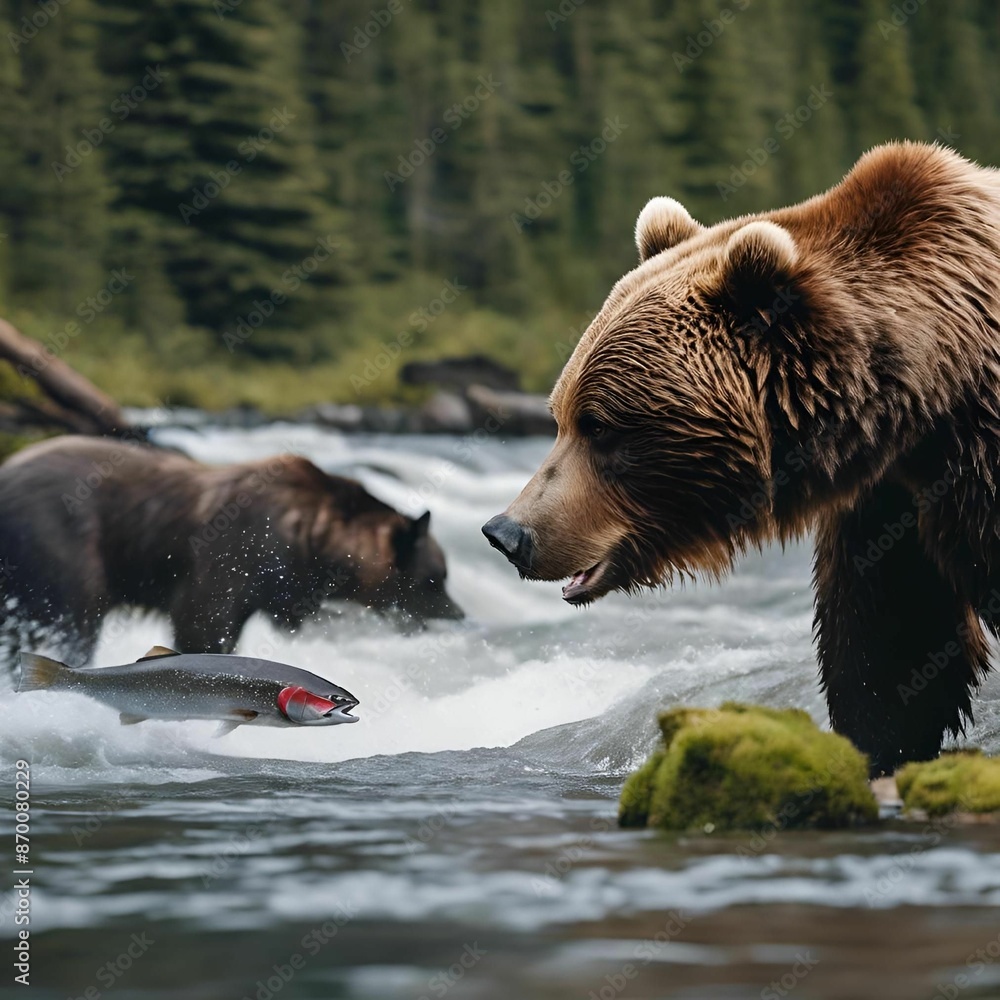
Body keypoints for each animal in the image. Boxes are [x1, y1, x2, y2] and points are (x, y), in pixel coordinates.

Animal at [0, 436, 460, 664]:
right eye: (435, 579)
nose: (460, 616)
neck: (312, 541)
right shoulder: (234, 553)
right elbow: (202, 621)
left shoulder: (278, 589)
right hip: (61, 539)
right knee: (77, 615)